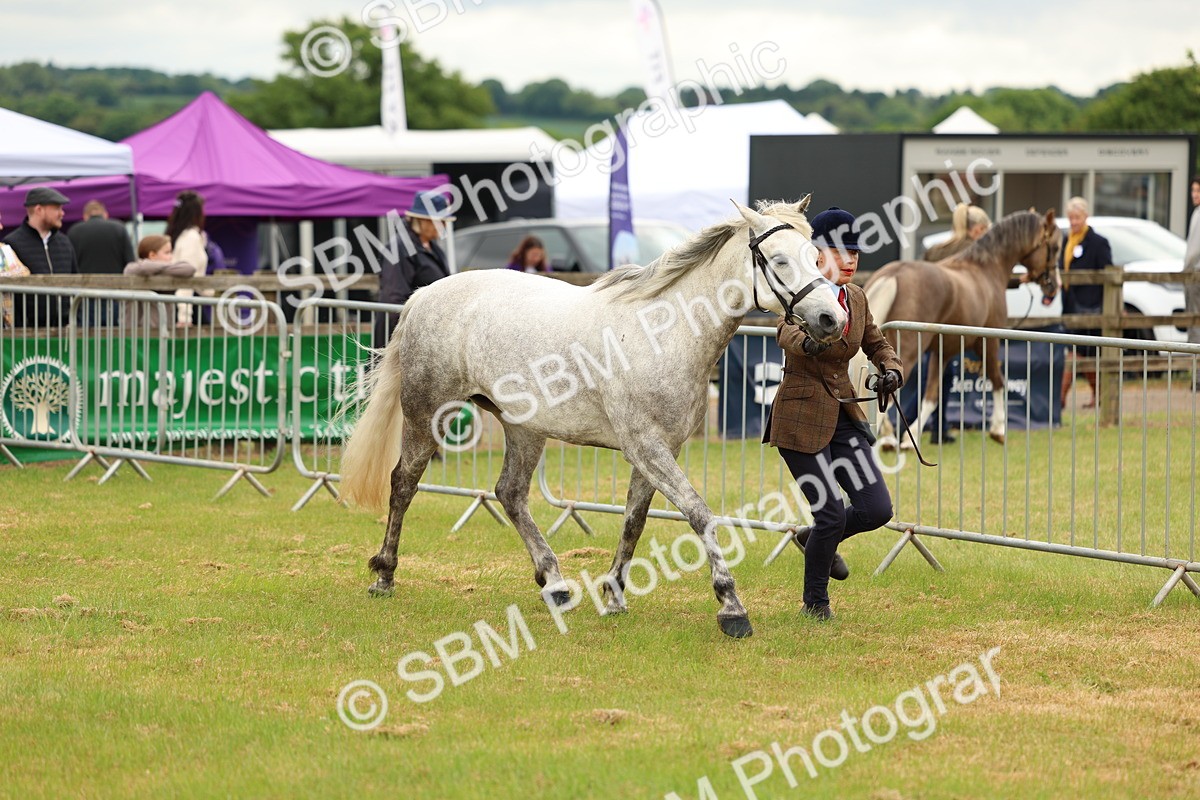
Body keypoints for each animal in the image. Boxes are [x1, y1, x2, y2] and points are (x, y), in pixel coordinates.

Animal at [338, 198, 848, 639]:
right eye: (779, 261)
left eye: (814, 255)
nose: (831, 319)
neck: (664, 332)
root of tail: (423, 295)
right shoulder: (647, 447)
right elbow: (699, 514)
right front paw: (731, 607)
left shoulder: (657, 450)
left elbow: (634, 521)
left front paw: (615, 595)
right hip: (427, 414)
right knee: (404, 482)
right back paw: (384, 575)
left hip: (523, 428)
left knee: (510, 493)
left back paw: (555, 584)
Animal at [850, 209, 1061, 447]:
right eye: (1055, 247)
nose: (1053, 285)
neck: (986, 269)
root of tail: (893, 275)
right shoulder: (989, 342)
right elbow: (998, 380)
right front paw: (998, 429)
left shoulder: (943, 352)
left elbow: (931, 395)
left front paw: (910, 437)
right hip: (908, 350)